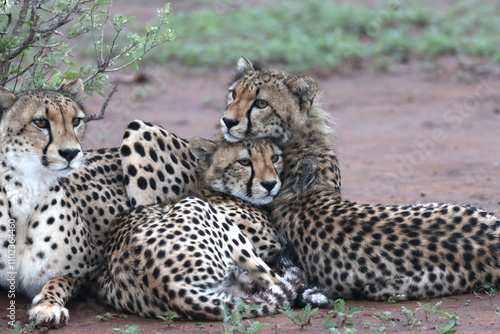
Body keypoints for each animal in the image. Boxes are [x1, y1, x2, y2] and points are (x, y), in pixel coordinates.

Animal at [96, 137, 328, 320]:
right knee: (277, 279)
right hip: (208, 215)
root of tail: (164, 285)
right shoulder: (268, 245)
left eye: (275, 158)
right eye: (244, 161)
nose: (270, 184)